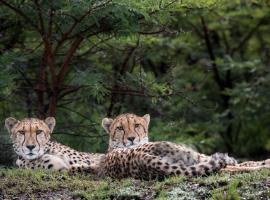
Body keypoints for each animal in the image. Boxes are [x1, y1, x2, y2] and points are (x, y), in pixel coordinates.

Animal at [92, 112, 237, 180]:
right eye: (120, 128)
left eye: (137, 125)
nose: (131, 138)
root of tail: (139, 159)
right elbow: (202, 156)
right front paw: (229, 159)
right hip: (172, 147)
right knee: (196, 156)